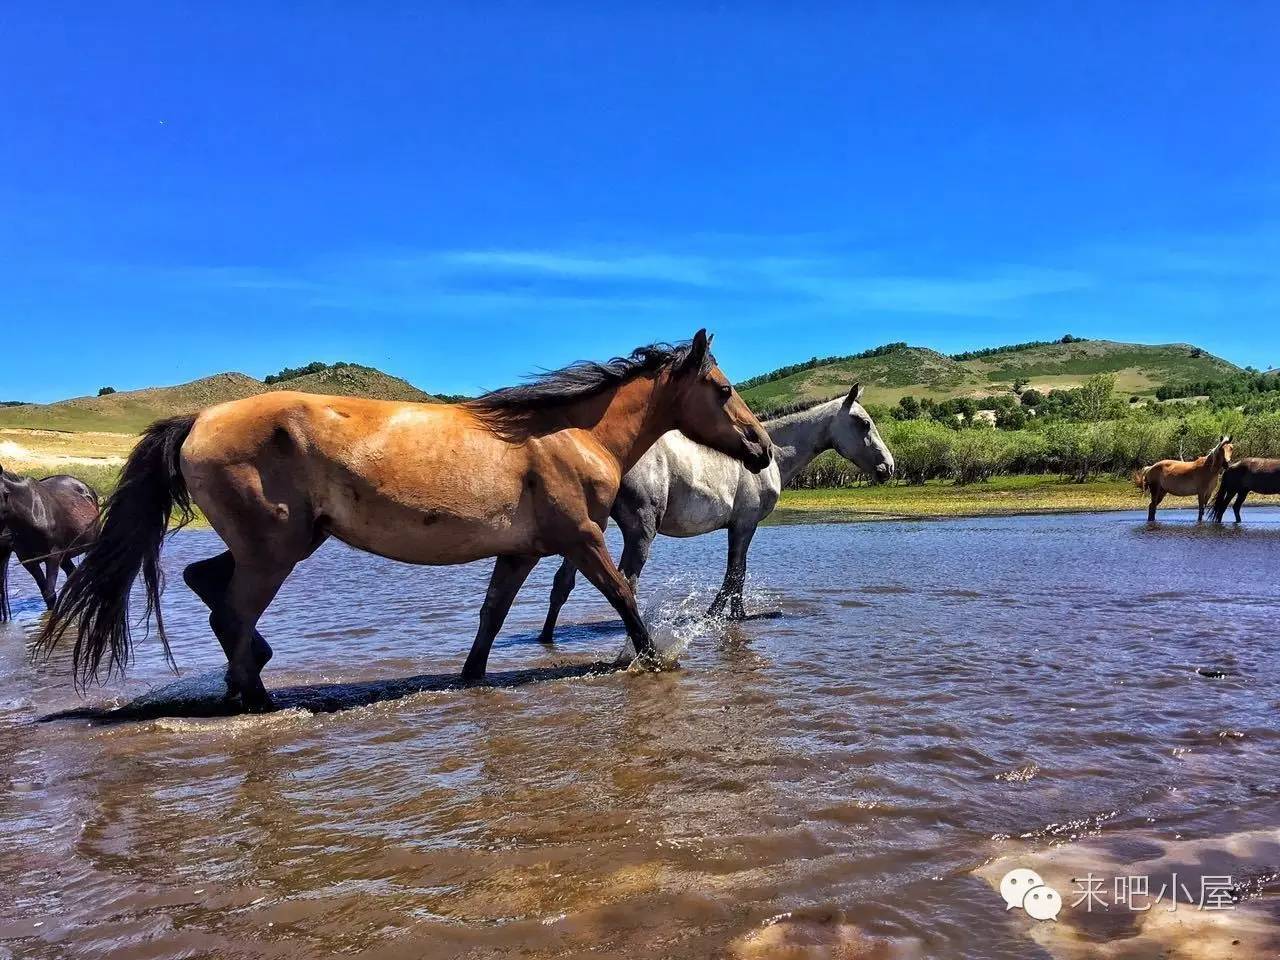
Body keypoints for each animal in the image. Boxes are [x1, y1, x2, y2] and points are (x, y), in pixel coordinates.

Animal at [0, 468, 101, 624]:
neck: (31, 512)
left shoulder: (53, 556)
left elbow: (50, 593)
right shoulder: (28, 561)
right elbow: (45, 593)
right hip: (65, 555)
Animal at [537, 378, 890, 634]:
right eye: (863, 423)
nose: (888, 467)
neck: (772, 455)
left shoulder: (740, 527)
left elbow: (737, 573)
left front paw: (734, 613)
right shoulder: (745, 525)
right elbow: (735, 573)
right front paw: (719, 615)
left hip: (586, 532)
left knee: (563, 583)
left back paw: (546, 637)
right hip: (638, 531)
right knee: (622, 584)